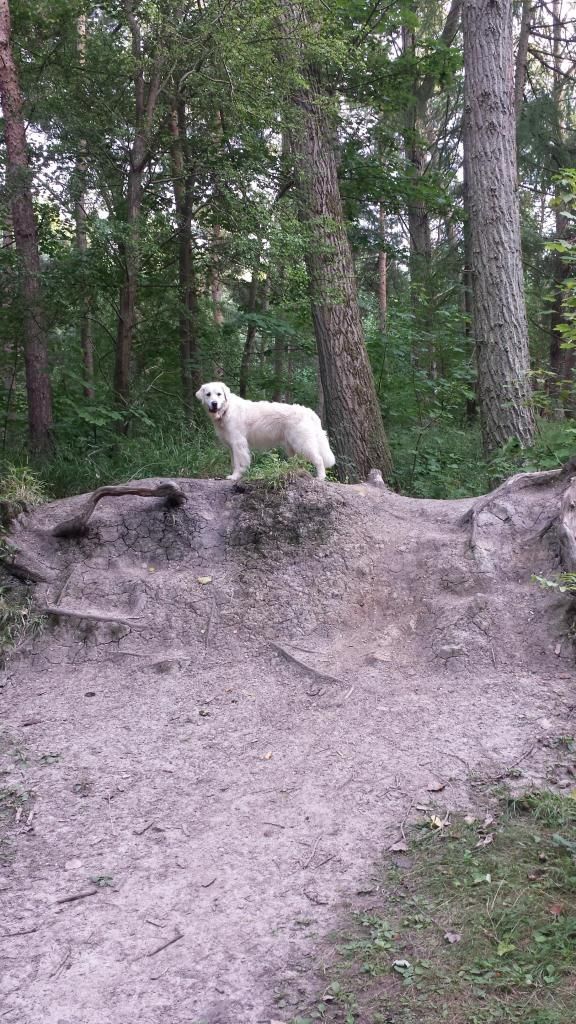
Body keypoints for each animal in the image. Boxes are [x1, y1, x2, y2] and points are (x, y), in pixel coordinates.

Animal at [194, 382, 334, 481]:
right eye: (208, 394)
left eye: (219, 394)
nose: (214, 403)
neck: (226, 410)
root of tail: (308, 411)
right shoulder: (231, 446)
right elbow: (234, 462)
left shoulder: (238, 443)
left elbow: (239, 463)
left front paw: (235, 476)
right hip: (292, 447)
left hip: (302, 443)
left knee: (319, 459)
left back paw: (320, 477)